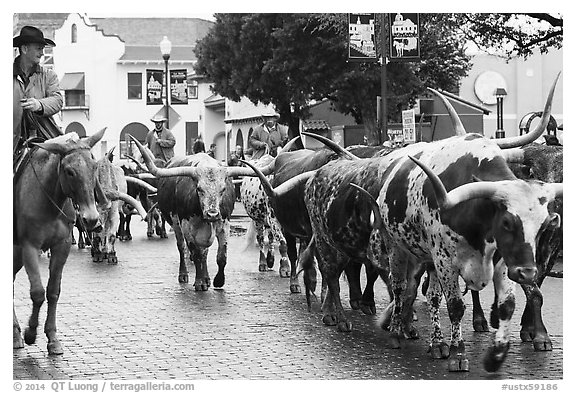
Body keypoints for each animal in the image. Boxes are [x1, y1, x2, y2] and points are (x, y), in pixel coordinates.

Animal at [14, 129, 109, 356]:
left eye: (94, 167)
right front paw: (30, 333)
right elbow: (38, 293)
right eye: (69, 171)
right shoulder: (30, 247)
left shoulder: (61, 247)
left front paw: (52, 338)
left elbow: (53, 291)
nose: (91, 219)